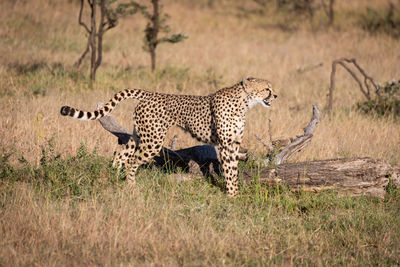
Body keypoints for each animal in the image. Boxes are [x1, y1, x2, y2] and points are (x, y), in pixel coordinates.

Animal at [60, 77, 278, 197]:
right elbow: (229, 171)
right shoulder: (225, 145)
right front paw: (232, 195)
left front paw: (236, 194)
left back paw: (115, 178)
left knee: (121, 154)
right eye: (267, 88)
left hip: (141, 135)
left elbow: (233, 169)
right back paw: (132, 187)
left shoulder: (234, 144)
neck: (244, 102)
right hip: (153, 140)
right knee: (131, 160)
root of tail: (151, 93)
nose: (276, 96)